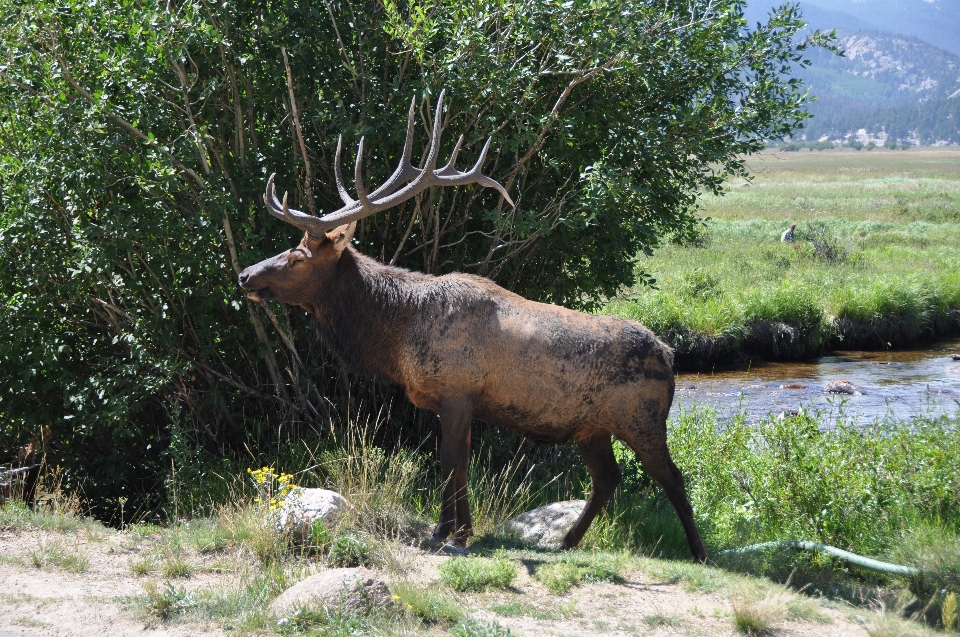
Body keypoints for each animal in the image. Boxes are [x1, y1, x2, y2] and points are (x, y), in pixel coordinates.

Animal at [237, 90, 708, 560]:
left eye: (298, 256)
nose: (244, 275)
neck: (396, 338)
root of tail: (669, 356)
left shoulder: (457, 390)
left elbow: (448, 463)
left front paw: (442, 532)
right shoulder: (461, 401)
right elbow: (461, 465)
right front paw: (464, 531)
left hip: (642, 418)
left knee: (671, 476)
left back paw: (698, 552)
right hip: (592, 426)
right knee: (607, 477)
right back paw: (567, 542)